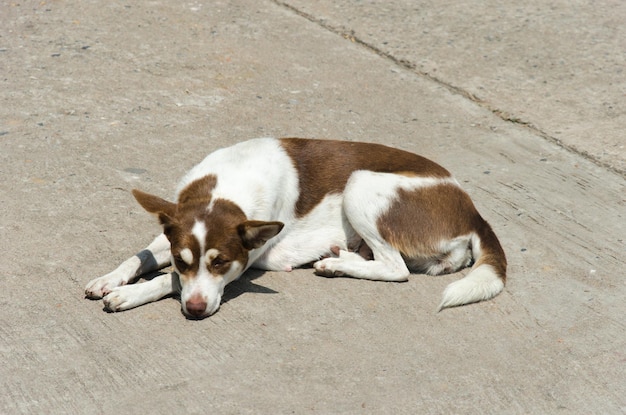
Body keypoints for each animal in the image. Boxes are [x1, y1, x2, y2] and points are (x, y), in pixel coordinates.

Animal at [84, 138, 502, 320]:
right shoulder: (172, 228)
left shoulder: (246, 259)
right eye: (182, 259)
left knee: (396, 269)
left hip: (361, 183)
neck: (227, 187)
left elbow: (167, 280)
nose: (196, 311)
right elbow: (140, 257)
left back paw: (338, 264)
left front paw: (130, 294)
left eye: (221, 264)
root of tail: (473, 213)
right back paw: (346, 256)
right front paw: (110, 279)